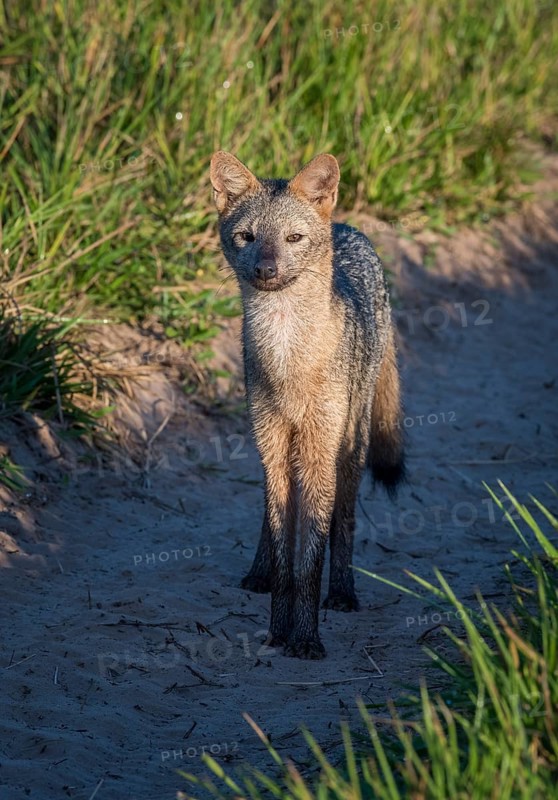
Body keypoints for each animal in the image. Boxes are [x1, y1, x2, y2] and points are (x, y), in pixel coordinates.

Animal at [209, 151, 405, 659]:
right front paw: (279, 630)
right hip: (281, 454)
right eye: (248, 237)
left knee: (345, 521)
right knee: (269, 515)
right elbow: (285, 555)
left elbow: (311, 558)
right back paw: (257, 573)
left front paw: (307, 638)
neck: (288, 365)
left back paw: (343, 592)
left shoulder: (320, 450)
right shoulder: (272, 442)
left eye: (293, 239)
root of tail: (350, 229)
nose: (266, 271)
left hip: (350, 448)